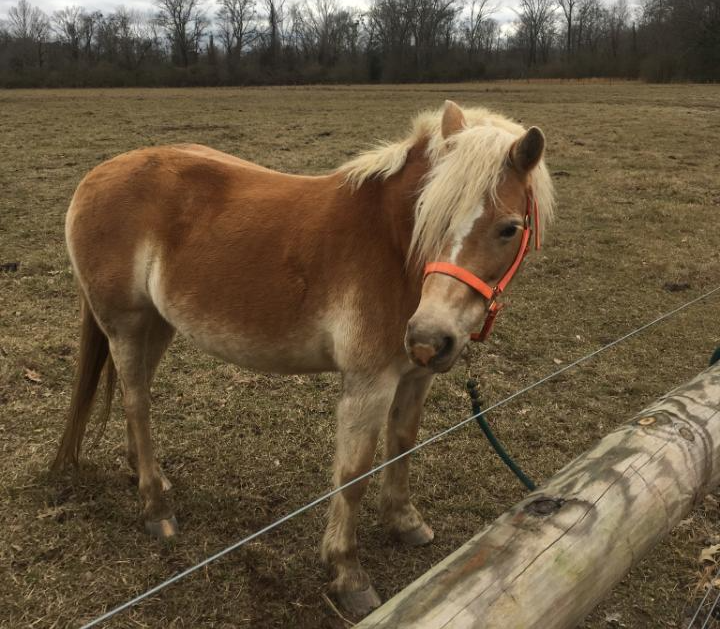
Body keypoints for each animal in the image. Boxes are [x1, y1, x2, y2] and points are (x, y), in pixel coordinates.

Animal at [51, 100, 554, 617]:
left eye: (508, 229)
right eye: (428, 215)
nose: (428, 337)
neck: (393, 245)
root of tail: (96, 175)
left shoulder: (415, 377)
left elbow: (403, 444)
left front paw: (405, 521)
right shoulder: (368, 384)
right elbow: (353, 475)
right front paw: (347, 572)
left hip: (157, 324)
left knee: (137, 398)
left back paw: (148, 476)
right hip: (126, 326)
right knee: (137, 403)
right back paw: (156, 509)